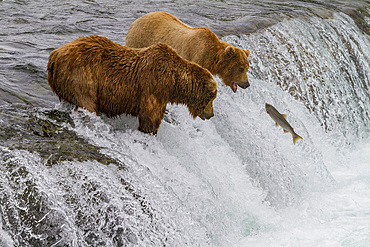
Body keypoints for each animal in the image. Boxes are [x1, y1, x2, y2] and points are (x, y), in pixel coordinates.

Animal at [47, 35, 218, 133]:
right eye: (212, 97)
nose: (211, 114)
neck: (174, 82)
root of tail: (54, 55)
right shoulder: (155, 85)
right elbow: (150, 116)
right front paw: (149, 130)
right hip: (81, 75)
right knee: (86, 102)